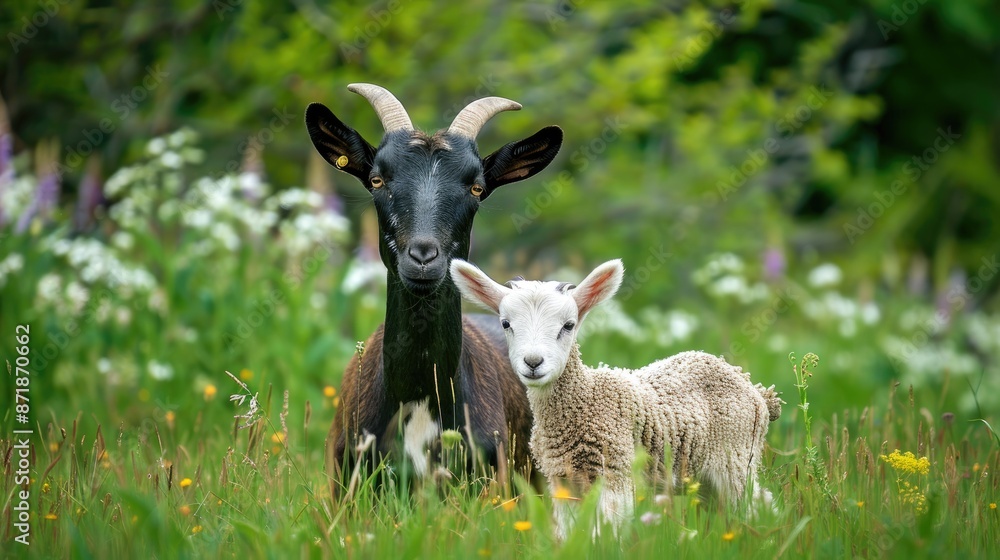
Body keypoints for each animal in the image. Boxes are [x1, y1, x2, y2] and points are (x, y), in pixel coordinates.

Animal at [450, 258, 783, 537]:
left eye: (568, 325)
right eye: (506, 324)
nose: (533, 362)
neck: (586, 397)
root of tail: (753, 387)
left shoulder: (615, 471)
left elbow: (607, 530)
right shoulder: (563, 481)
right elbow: (571, 533)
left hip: (736, 459)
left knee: (758, 504)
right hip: (703, 477)